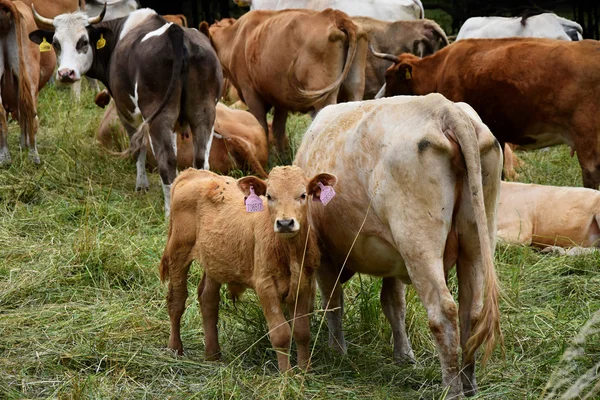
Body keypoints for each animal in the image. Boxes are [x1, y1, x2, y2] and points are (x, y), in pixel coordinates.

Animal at [29, 6, 224, 214]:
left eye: (83, 41)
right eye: (55, 43)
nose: (66, 73)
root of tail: (176, 32)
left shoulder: (126, 113)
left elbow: (138, 148)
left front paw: (142, 186)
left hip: (158, 117)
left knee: (167, 161)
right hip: (203, 112)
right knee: (201, 160)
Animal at [159, 166, 338, 372]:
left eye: (303, 195)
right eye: (269, 196)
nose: (285, 223)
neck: (289, 251)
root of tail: (193, 173)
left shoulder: (304, 282)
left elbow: (302, 331)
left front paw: (304, 370)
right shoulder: (265, 285)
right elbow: (281, 334)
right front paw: (286, 374)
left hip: (214, 260)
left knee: (208, 300)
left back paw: (213, 354)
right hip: (178, 252)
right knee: (177, 300)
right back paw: (175, 349)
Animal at [209, 9, 368, 154]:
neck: (235, 38)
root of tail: (335, 15)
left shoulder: (250, 93)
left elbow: (261, 126)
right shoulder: (281, 99)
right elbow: (278, 129)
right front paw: (280, 156)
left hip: (325, 97)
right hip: (355, 90)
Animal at [294, 94, 502, 396]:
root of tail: (443, 108)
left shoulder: (322, 252)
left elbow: (333, 302)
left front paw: (337, 352)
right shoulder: (392, 259)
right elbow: (394, 304)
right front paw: (404, 356)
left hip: (419, 243)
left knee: (443, 312)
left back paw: (451, 390)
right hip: (475, 240)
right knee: (471, 313)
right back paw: (469, 385)